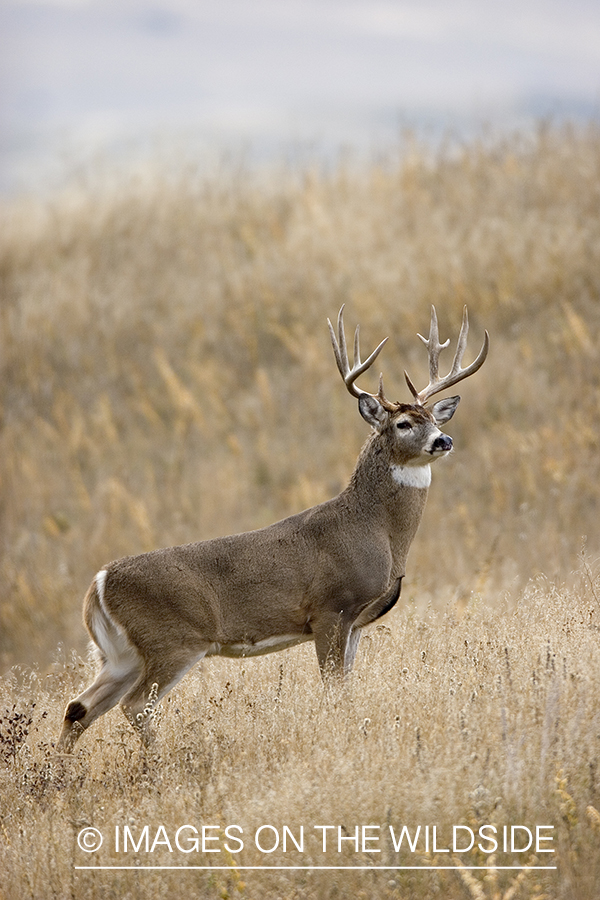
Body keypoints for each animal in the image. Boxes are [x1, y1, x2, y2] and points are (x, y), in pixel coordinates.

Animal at [57, 306, 488, 748]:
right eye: (403, 424)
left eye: (432, 418)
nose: (443, 440)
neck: (378, 531)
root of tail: (99, 583)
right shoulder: (331, 607)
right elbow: (333, 691)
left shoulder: (356, 622)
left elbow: (347, 689)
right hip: (172, 640)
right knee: (135, 706)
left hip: (121, 654)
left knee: (79, 707)